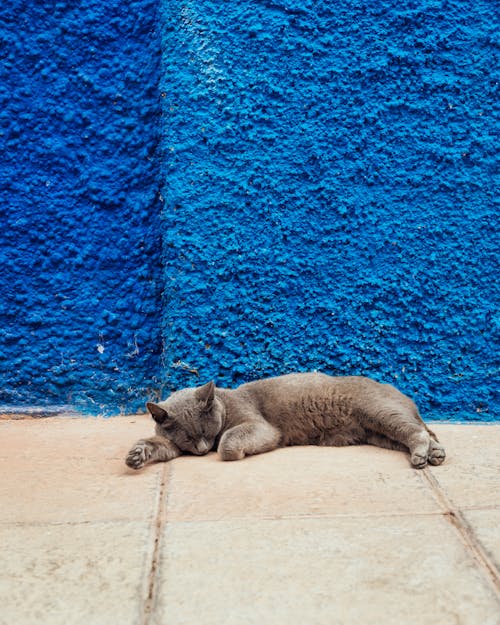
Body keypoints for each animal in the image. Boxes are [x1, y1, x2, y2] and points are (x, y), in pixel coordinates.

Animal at [125, 370, 446, 468]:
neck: (226, 404)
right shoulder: (174, 446)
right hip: (377, 432)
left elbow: (228, 442)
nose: (203, 449)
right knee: (419, 433)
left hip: (379, 412)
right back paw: (435, 454)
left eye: (206, 431)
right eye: (189, 438)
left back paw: (422, 456)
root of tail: (402, 394)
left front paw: (232, 451)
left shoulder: (259, 425)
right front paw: (137, 454)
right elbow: (159, 445)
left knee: (416, 432)